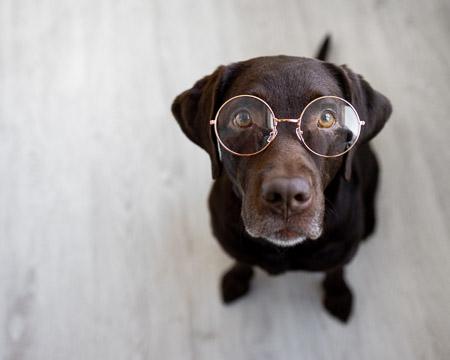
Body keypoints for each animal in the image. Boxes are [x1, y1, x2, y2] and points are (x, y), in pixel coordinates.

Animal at [171, 36, 390, 322]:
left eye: (326, 118)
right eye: (243, 117)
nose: (286, 195)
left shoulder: (341, 251)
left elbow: (336, 272)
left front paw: (338, 295)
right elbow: (241, 261)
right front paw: (236, 280)